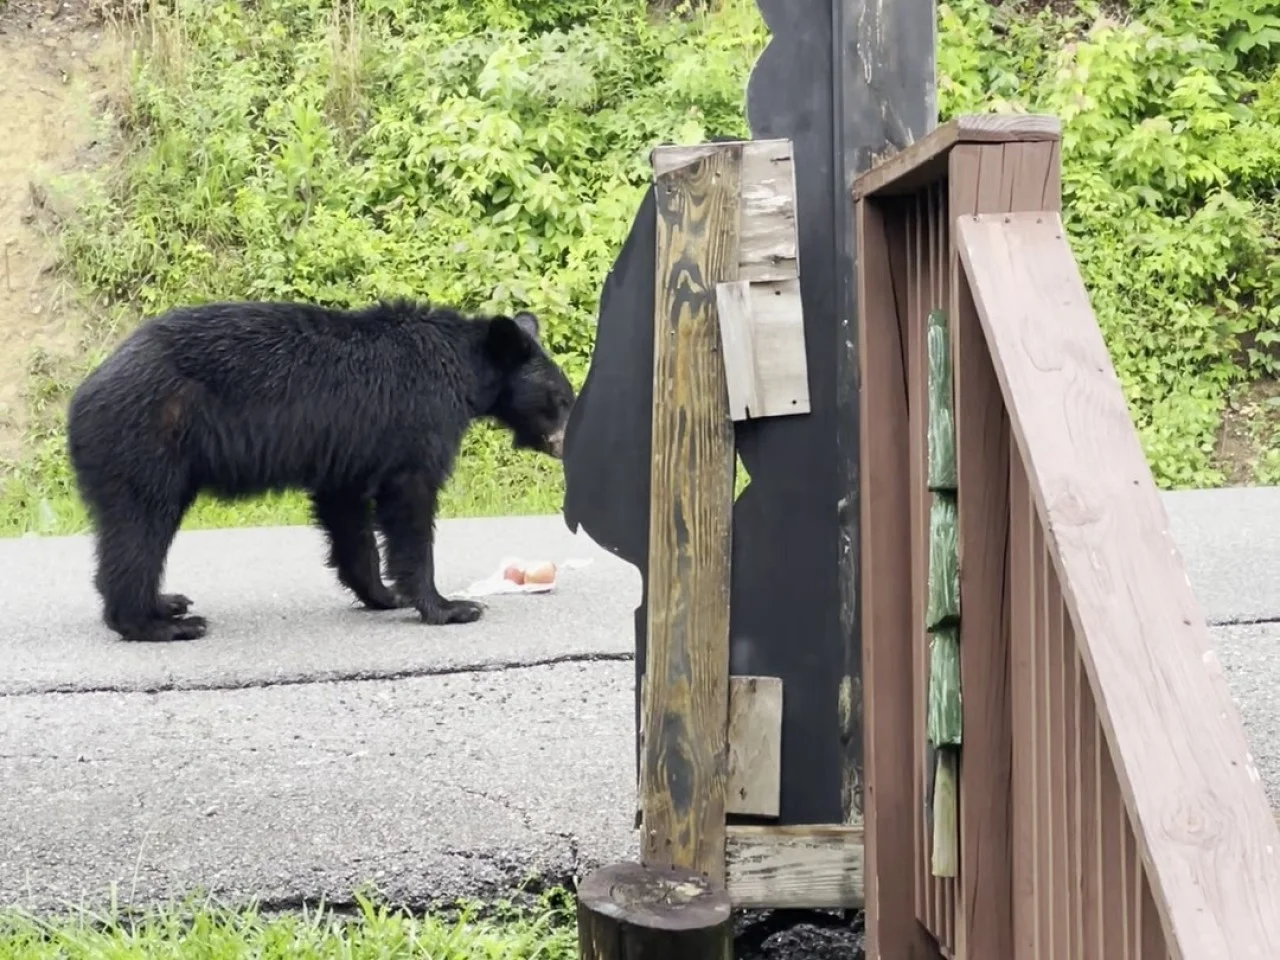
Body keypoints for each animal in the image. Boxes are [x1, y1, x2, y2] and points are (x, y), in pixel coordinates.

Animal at [65, 298, 575, 643]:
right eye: (561, 399)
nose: (568, 445)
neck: (462, 368)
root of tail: (83, 394)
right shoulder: (418, 417)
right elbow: (410, 502)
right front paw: (448, 606)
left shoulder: (350, 450)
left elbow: (347, 515)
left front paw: (382, 594)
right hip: (148, 440)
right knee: (140, 529)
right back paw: (159, 623)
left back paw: (167, 603)